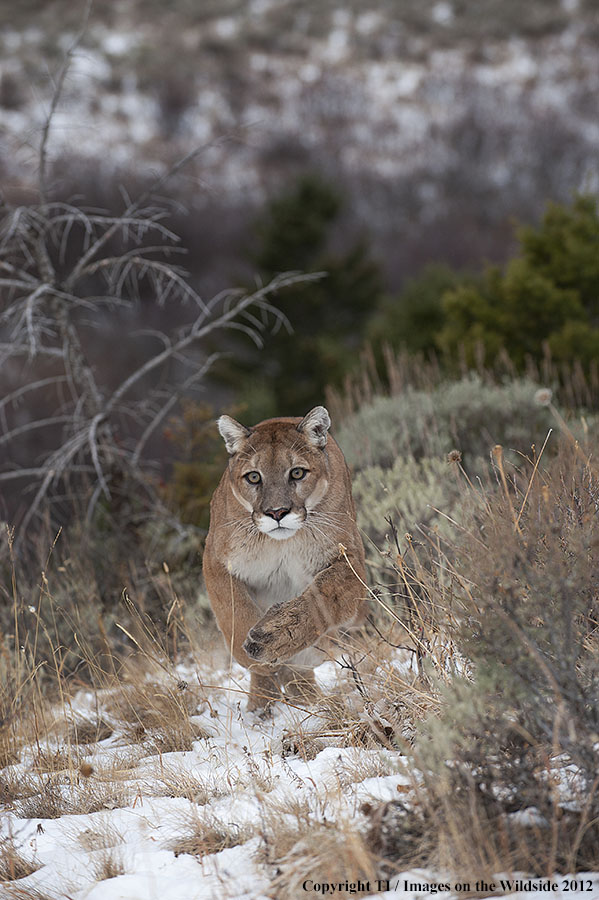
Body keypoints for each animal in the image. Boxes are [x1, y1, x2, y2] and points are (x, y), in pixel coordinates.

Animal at [204, 408, 368, 712]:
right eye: (253, 477)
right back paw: (260, 709)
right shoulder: (215, 562)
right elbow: (234, 611)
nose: (277, 512)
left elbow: (322, 596)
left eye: (297, 473)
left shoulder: (349, 561)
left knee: (299, 670)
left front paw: (274, 637)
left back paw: (310, 703)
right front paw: (255, 657)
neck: (282, 543)